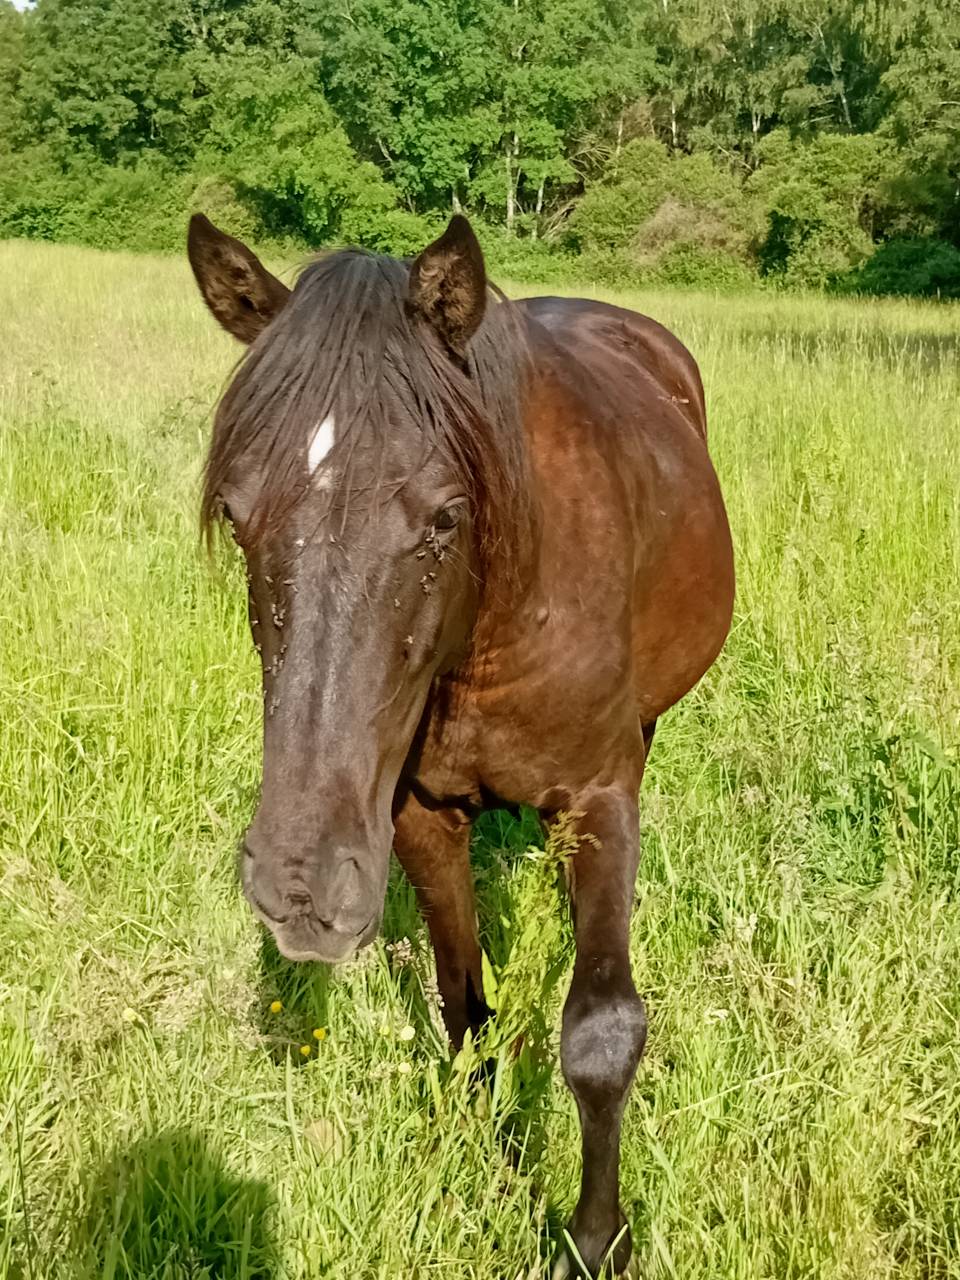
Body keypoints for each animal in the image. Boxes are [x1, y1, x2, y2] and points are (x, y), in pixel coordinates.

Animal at [187, 211, 734, 1278]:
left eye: (445, 516)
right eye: (235, 515)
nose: (299, 888)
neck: (495, 625)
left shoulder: (600, 797)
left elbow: (601, 1033)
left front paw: (594, 1239)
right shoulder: (418, 814)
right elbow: (461, 1004)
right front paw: (482, 1154)